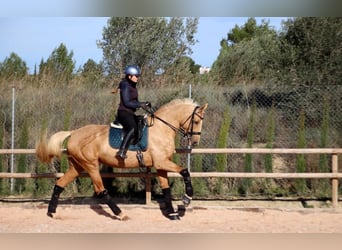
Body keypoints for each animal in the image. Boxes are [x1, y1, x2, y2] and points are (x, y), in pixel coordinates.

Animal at [36, 98, 208, 220]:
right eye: (196, 121)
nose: (195, 142)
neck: (161, 128)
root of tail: (73, 133)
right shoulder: (161, 162)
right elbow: (185, 172)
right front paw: (187, 198)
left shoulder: (161, 165)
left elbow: (166, 188)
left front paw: (172, 214)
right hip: (90, 165)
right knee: (101, 189)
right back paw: (120, 213)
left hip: (77, 166)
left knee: (59, 184)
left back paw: (52, 212)